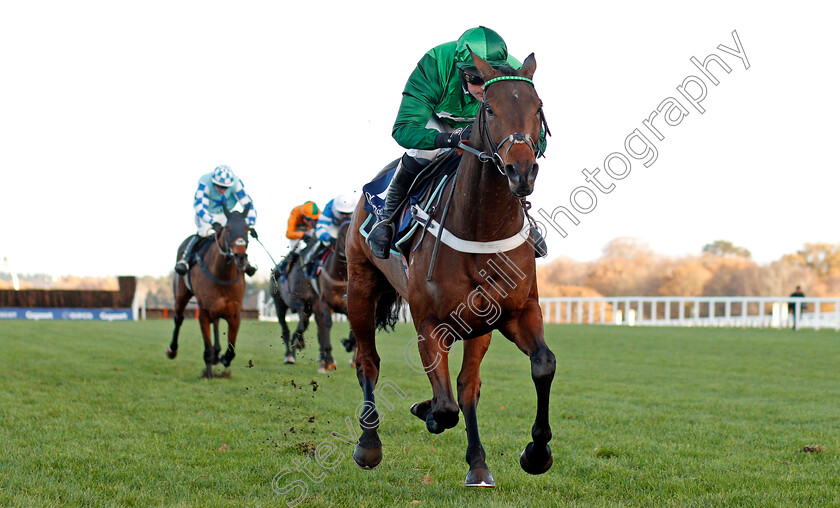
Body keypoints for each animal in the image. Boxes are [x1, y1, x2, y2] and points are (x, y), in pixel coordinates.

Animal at [167, 202, 251, 378]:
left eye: (247, 228)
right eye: (228, 228)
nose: (240, 258)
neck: (222, 276)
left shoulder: (235, 313)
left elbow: (231, 351)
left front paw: (222, 358)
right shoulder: (204, 311)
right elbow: (207, 347)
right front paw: (209, 373)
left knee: (216, 323)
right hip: (180, 295)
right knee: (178, 318)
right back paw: (172, 350)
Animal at [344, 50, 556, 488]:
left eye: (538, 107)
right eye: (489, 109)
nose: (521, 171)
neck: (482, 226)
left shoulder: (515, 312)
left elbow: (540, 366)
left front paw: (536, 453)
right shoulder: (430, 322)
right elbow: (444, 408)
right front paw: (424, 410)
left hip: (478, 324)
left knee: (467, 386)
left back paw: (478, 464)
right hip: (360, 286)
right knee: (367, 360)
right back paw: (369, 445)